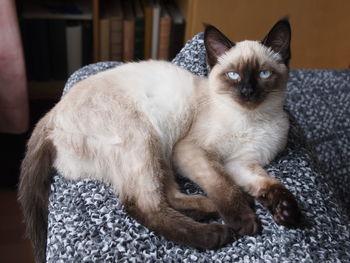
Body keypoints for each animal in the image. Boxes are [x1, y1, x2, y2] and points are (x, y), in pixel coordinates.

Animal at [17, 17, 300, 262]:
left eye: (263, 74)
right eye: (234, 75)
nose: (247, 92)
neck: (252, 119)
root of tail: (52, 113)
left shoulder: (240, 163)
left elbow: (266, 183)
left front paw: (286, 211)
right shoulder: (194, 152)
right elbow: (224, 186)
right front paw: (245, 220)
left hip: (159, 152)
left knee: (168, 196)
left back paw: (217, 207)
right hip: (146, 137)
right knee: (143, 205)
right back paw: (215, 232)